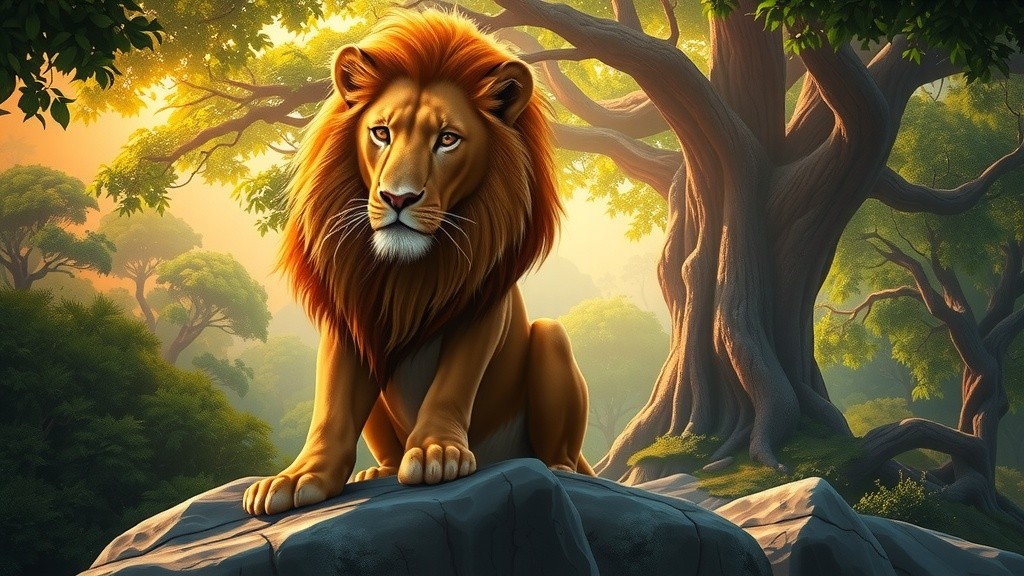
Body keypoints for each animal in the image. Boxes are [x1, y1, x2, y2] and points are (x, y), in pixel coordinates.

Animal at [242, 10, 592, 516]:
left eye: (446, 139)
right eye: (381, 133)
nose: (397, 198)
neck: (406, 271)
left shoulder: (482, 307)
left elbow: (452, 383)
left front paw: (435, 452)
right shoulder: (351, 314)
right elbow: (331, 405)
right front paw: (299, 477)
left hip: (551, 338)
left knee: (558, 435)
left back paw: (562, 468)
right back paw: (377, 471)